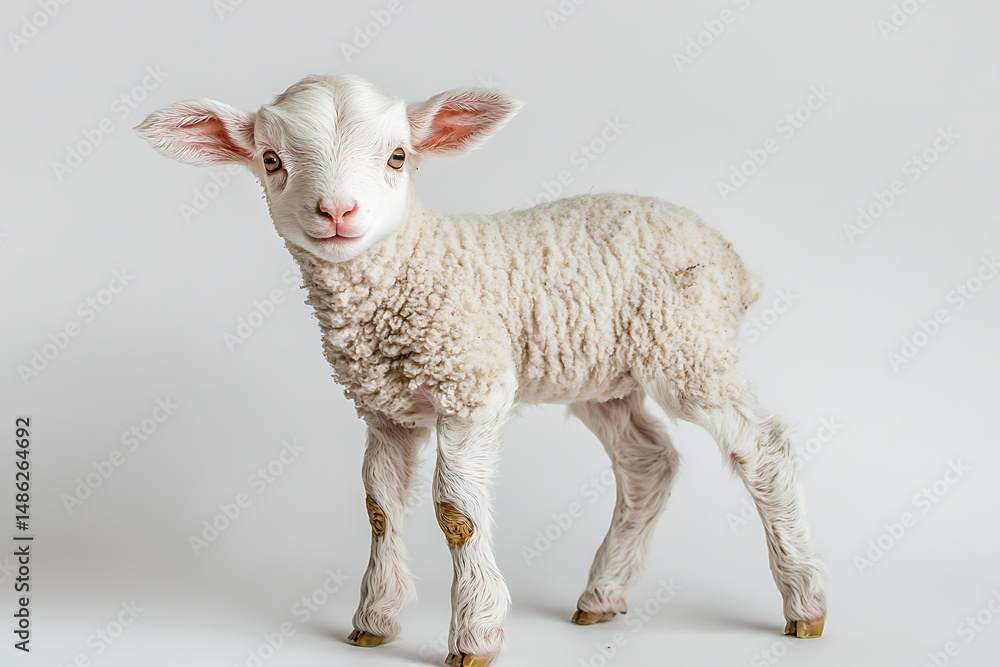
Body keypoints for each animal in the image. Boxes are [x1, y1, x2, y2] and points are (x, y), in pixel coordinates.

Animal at [136, 74, 827, 666]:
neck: (411, 268)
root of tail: (728, 257)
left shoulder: (472, 387)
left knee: (762, 447)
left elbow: (455, 512)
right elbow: (379, 506)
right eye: (272, 160)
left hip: (688, 347)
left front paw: (475, 634)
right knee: (647, 462)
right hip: (604, 376)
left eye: (398, 157)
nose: (337, 212)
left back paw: (805, 602)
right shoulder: (385, 410)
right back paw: (601, 596)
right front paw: (374, 621)